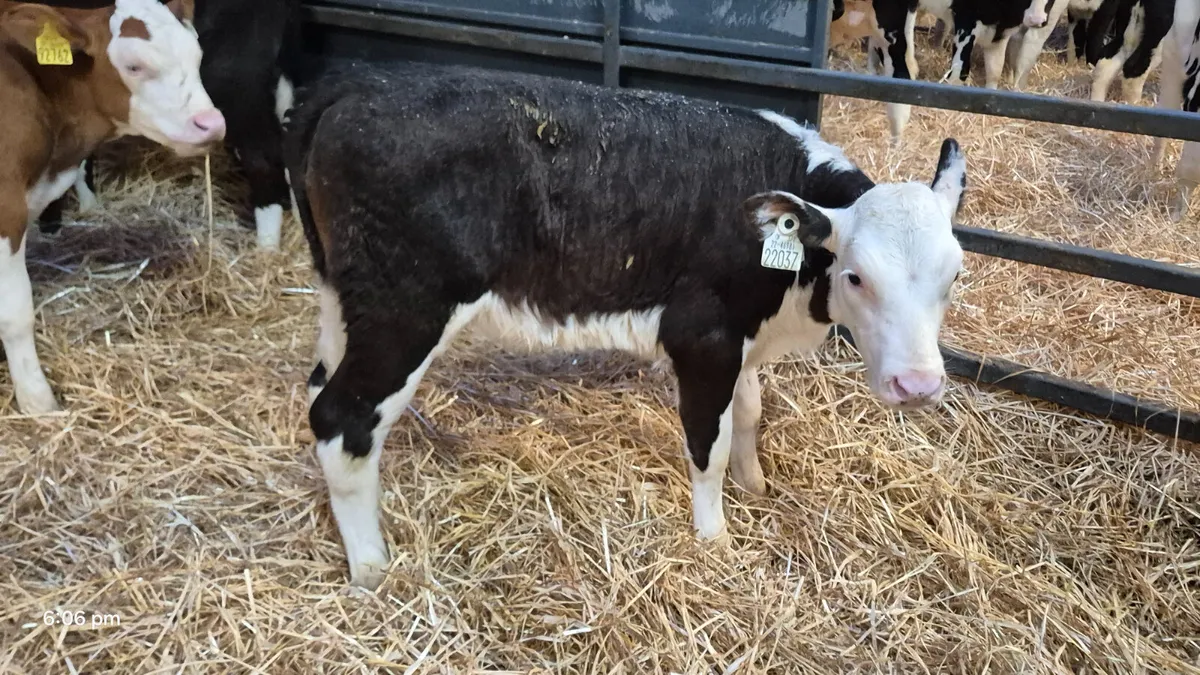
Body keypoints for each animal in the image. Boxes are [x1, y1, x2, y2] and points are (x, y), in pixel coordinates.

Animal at [0, 0, 224, 414]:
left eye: (197, 55)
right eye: (134, 66)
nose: (211, 124)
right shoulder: (7, 209)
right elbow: (16, 312)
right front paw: (39, 403)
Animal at [284, 62, 968, 588]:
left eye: (953, 274)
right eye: (856, 276)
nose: (918, 386)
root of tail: (357, 84)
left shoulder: (741, 337)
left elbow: (749, 412)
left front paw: (755, 485)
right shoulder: (703, 336)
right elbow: (710, 442)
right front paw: (714, 537)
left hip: (346, 298)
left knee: (320, 385)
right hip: (406, 308)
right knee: (342, 419)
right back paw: (373, 569)